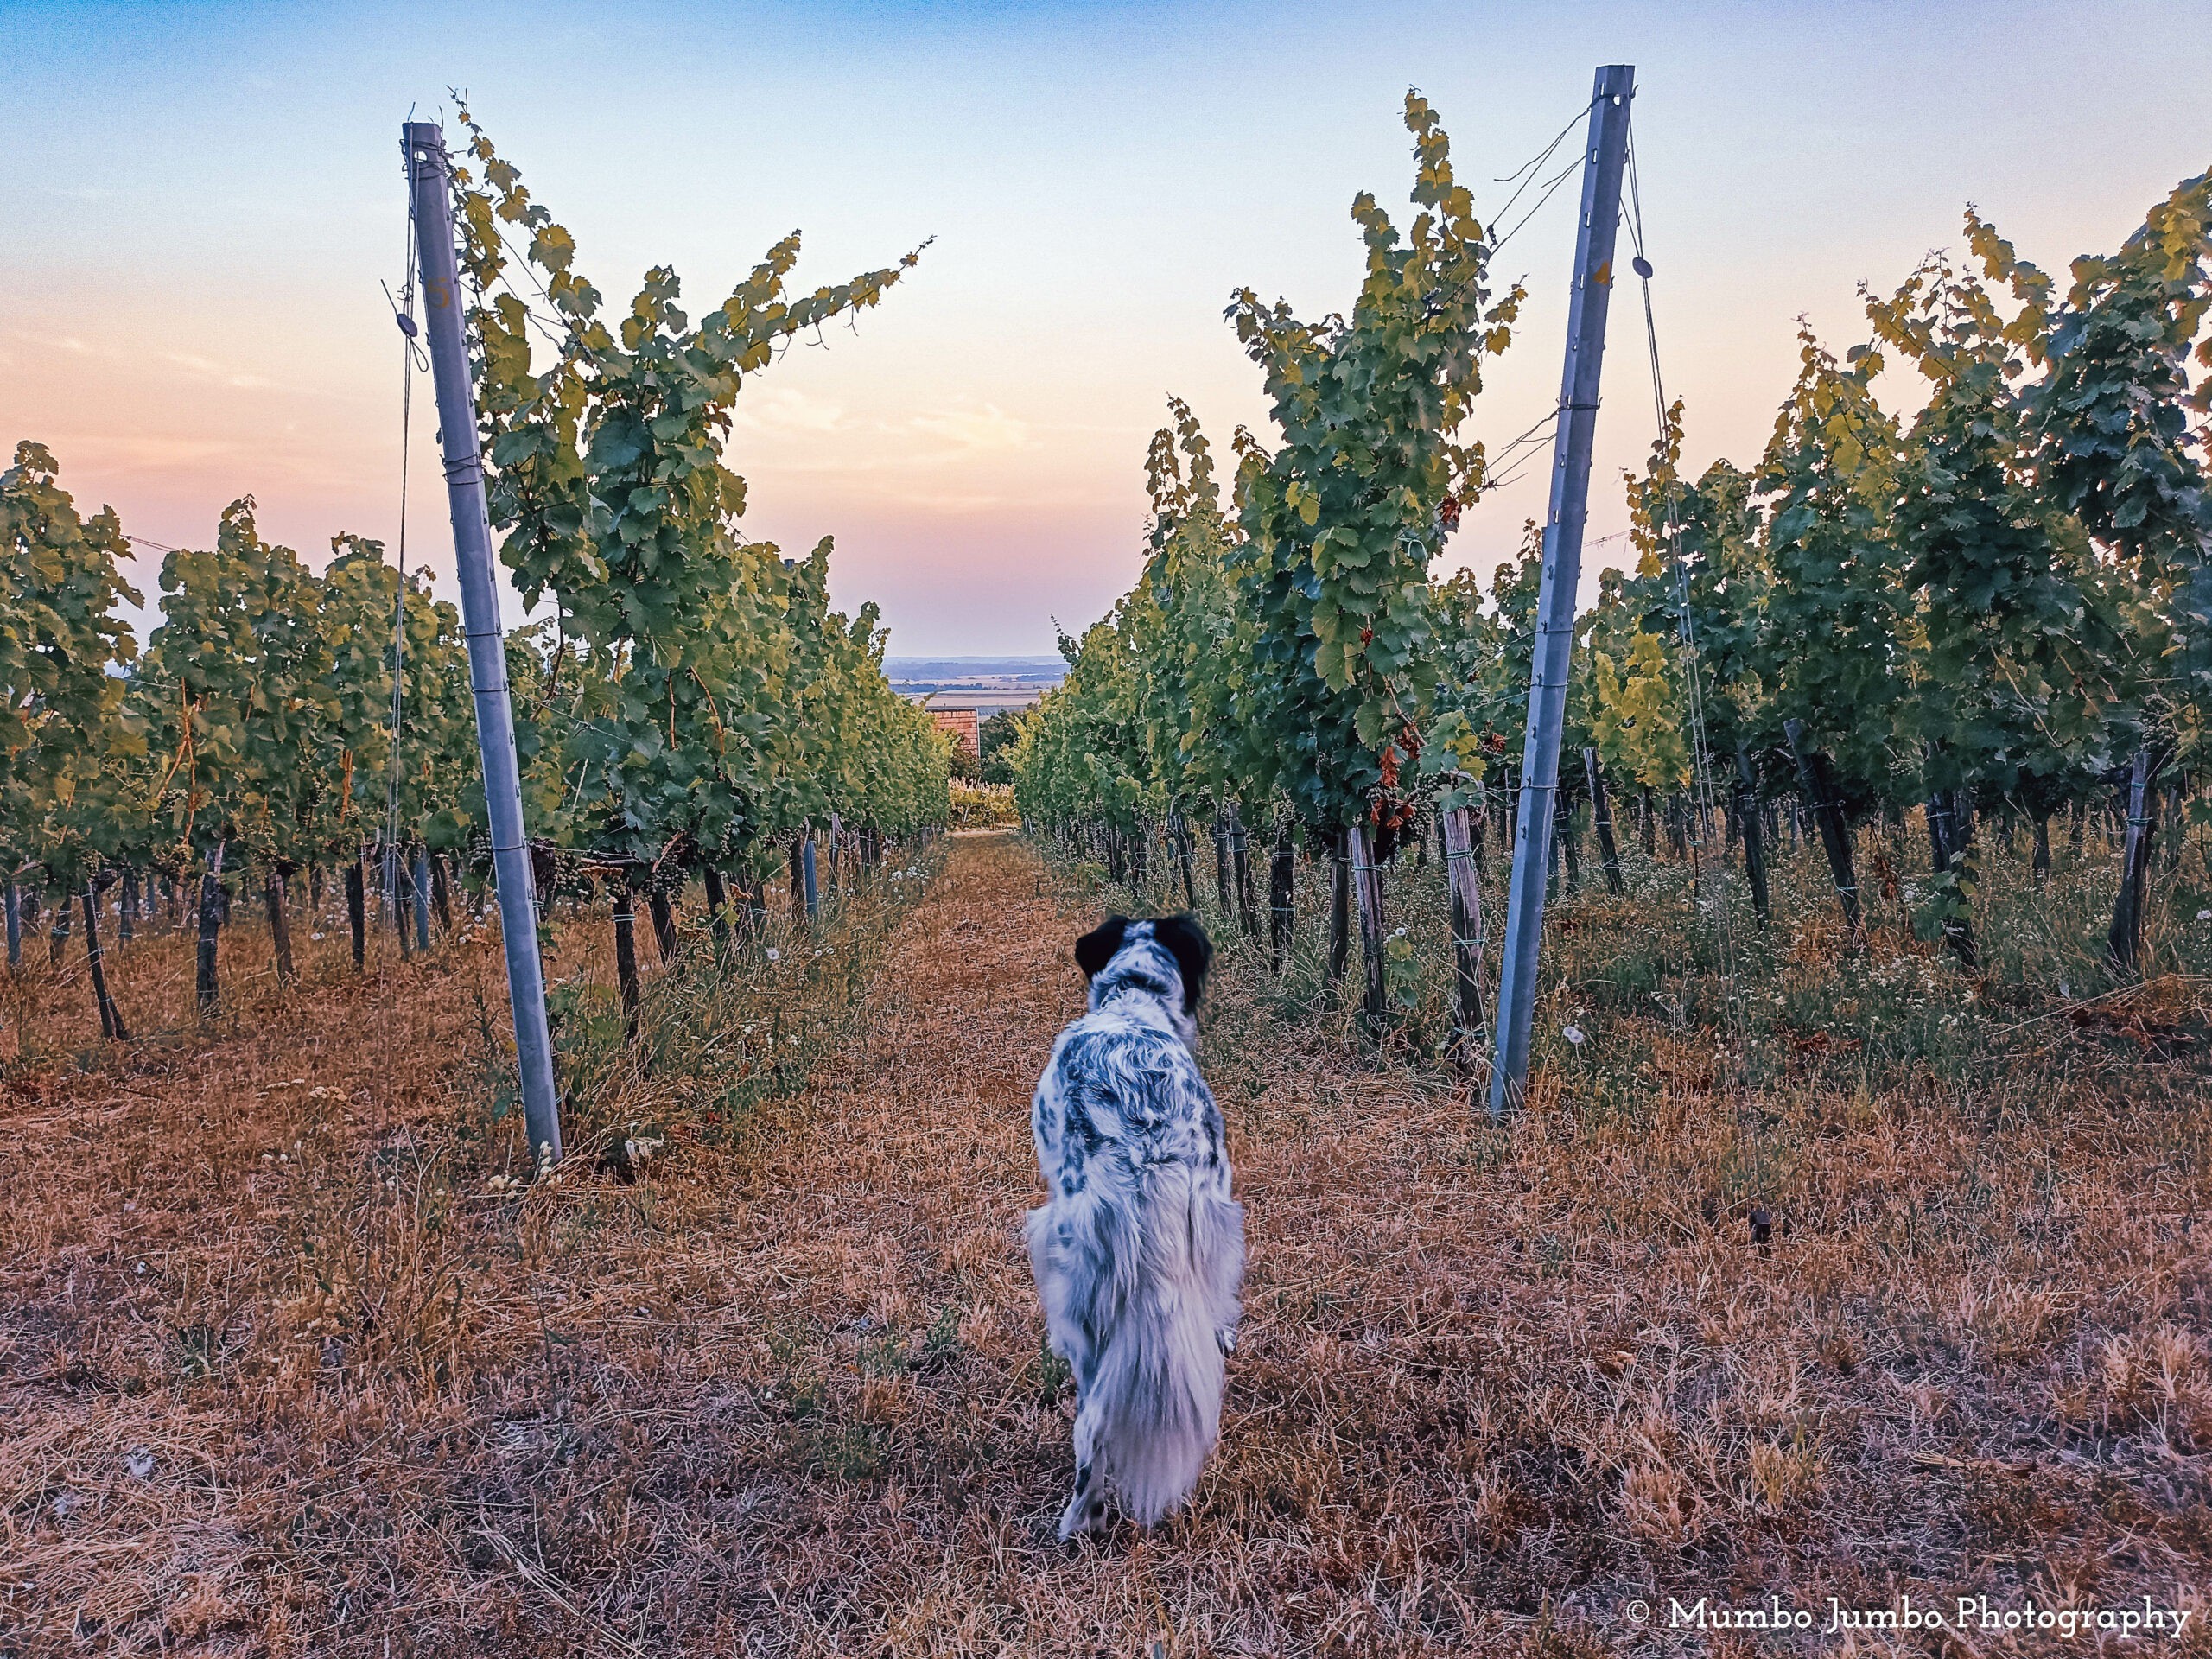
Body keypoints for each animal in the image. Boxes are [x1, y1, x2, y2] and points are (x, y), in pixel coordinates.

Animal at [1021, 915, 1247, 1539]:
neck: (1133, 999)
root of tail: (1147, 1150)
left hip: (1075, 1274)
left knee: (1091, 1421)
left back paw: (1082, 1519)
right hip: (1213, 1217)